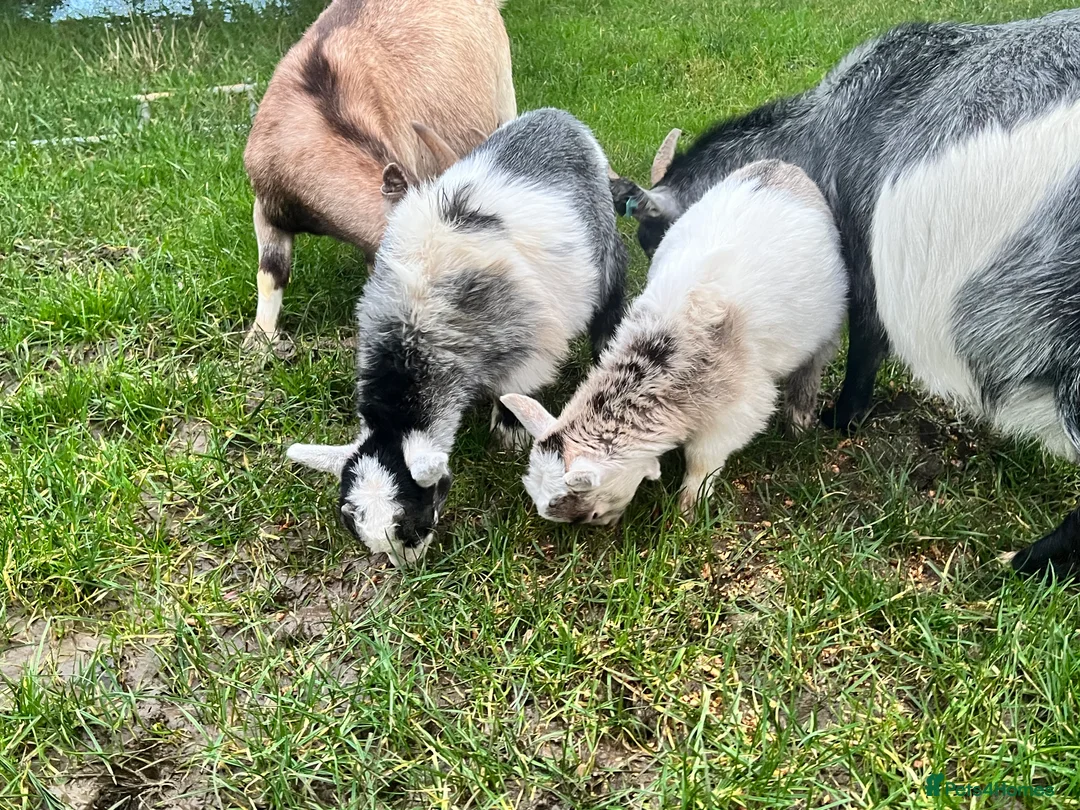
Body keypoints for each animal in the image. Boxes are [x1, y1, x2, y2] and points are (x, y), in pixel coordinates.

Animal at [285, 109, 628, 566]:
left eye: (414, 521)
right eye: (353, 524)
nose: (408, 570)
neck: (413, 333)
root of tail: (557, 118)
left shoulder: (531, 341)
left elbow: (514, 390)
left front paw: (509, 435)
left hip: (604, 245)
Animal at [503, 160, 847, 524]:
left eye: (591, 515)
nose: (609, 524)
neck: (663, 352)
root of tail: (780, 167)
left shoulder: (737, 410)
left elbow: (703, 460)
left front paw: (689, 507)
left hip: (826, 328)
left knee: (810, 368)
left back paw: (798, 422)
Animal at [611, 10, 1080, 579]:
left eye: (651, 236)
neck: (836, 127)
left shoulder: (863, 261)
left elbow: (866, 341)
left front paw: (840, 417)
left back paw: (1027, 560)